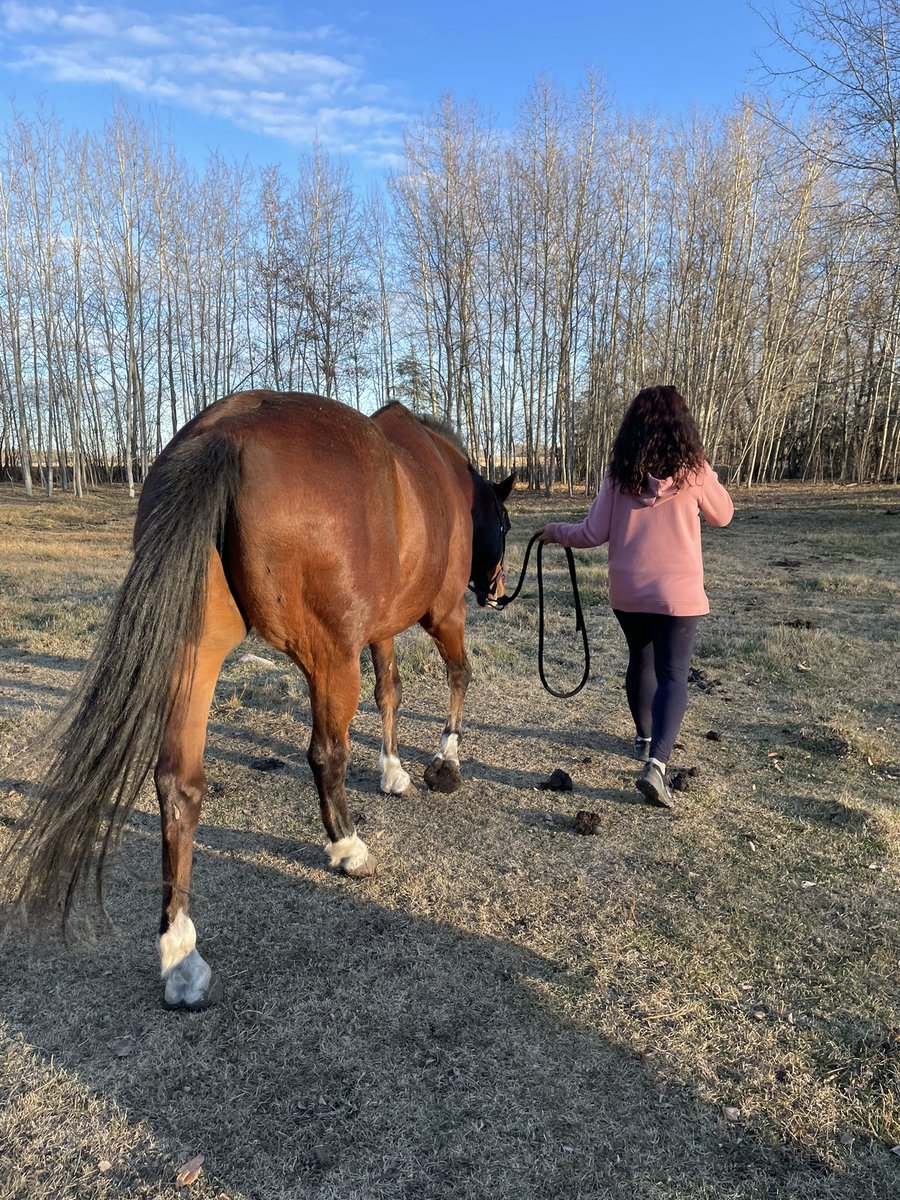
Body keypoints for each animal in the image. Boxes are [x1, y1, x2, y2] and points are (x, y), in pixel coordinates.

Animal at [5, 391, 514, 1011]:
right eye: (504, 523)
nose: (496, 593)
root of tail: (226, 435)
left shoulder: (381, 627)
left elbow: (390, 689)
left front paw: (393, 769)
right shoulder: (441, 614)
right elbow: (457, 675)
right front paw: (445, 762)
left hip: (194, 650)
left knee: (178, 784)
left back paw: (181, 954)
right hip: (329, 655)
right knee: (325, 754)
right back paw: (348, 848)